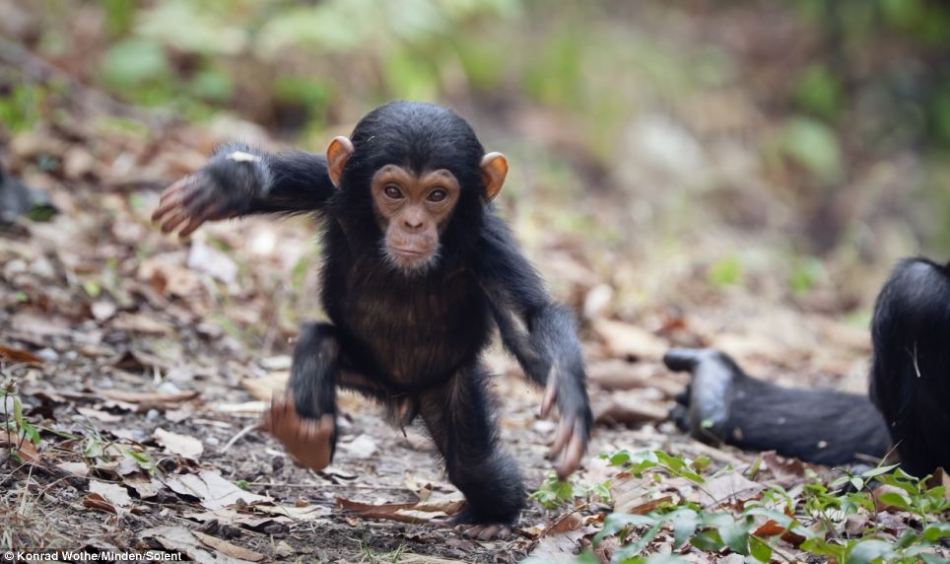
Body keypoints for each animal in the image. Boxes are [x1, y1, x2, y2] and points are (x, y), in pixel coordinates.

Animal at [152, 101, 593, 539]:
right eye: (393, 191)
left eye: (437, 195)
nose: (413, 223)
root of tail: (399, 397)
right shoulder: (335, 188)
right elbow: (278, 182)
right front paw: (225, 184)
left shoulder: (488, 243)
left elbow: (529, 317)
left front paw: (570, 399)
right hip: (363, 374)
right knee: (322, 341)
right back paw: (307, 436)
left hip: (446, 385)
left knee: (476, 468)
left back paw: (492, 517)